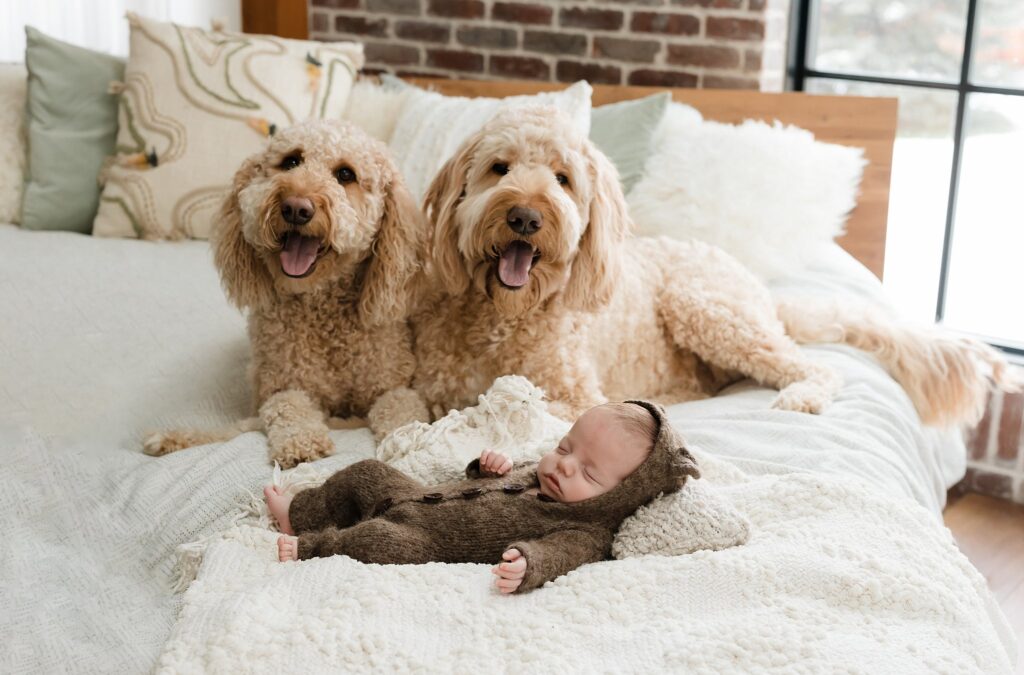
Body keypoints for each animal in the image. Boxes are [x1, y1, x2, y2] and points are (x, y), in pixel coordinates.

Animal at [147, 118, 428, 467]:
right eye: (291, 161)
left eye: (345, 174)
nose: (296, 207)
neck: (324, 310)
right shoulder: (280, 386)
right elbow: (288, 407)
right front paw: (301, 443)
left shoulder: (393, 386)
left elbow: (401, 408)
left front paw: (409, 440)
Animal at [411, 106, 1011, 428]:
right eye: (499, 168)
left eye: (563, 179)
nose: (525, 217)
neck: (506, 314)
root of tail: (760, 288)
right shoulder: (436, 387)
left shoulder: (578, 397)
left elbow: (515, 405)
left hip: (705, 307)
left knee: (815, 367)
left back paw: (801, 396)